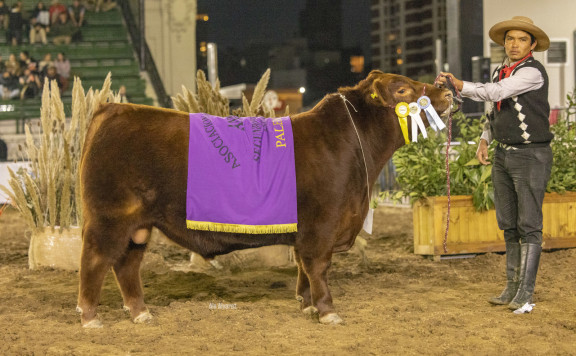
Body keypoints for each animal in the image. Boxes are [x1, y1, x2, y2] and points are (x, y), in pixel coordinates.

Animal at [77, 70, 454, 328]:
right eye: (402, 89)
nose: (446, 91)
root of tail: (111, 109)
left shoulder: (307, 230)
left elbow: (302, 267)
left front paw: (306, 304)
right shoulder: (322, 224)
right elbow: (318, 266)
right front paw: (327, 311)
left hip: (138, 226)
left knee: (126, 265)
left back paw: (141, 313)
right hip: (110, 217)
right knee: (96, 260)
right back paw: (90, 316)